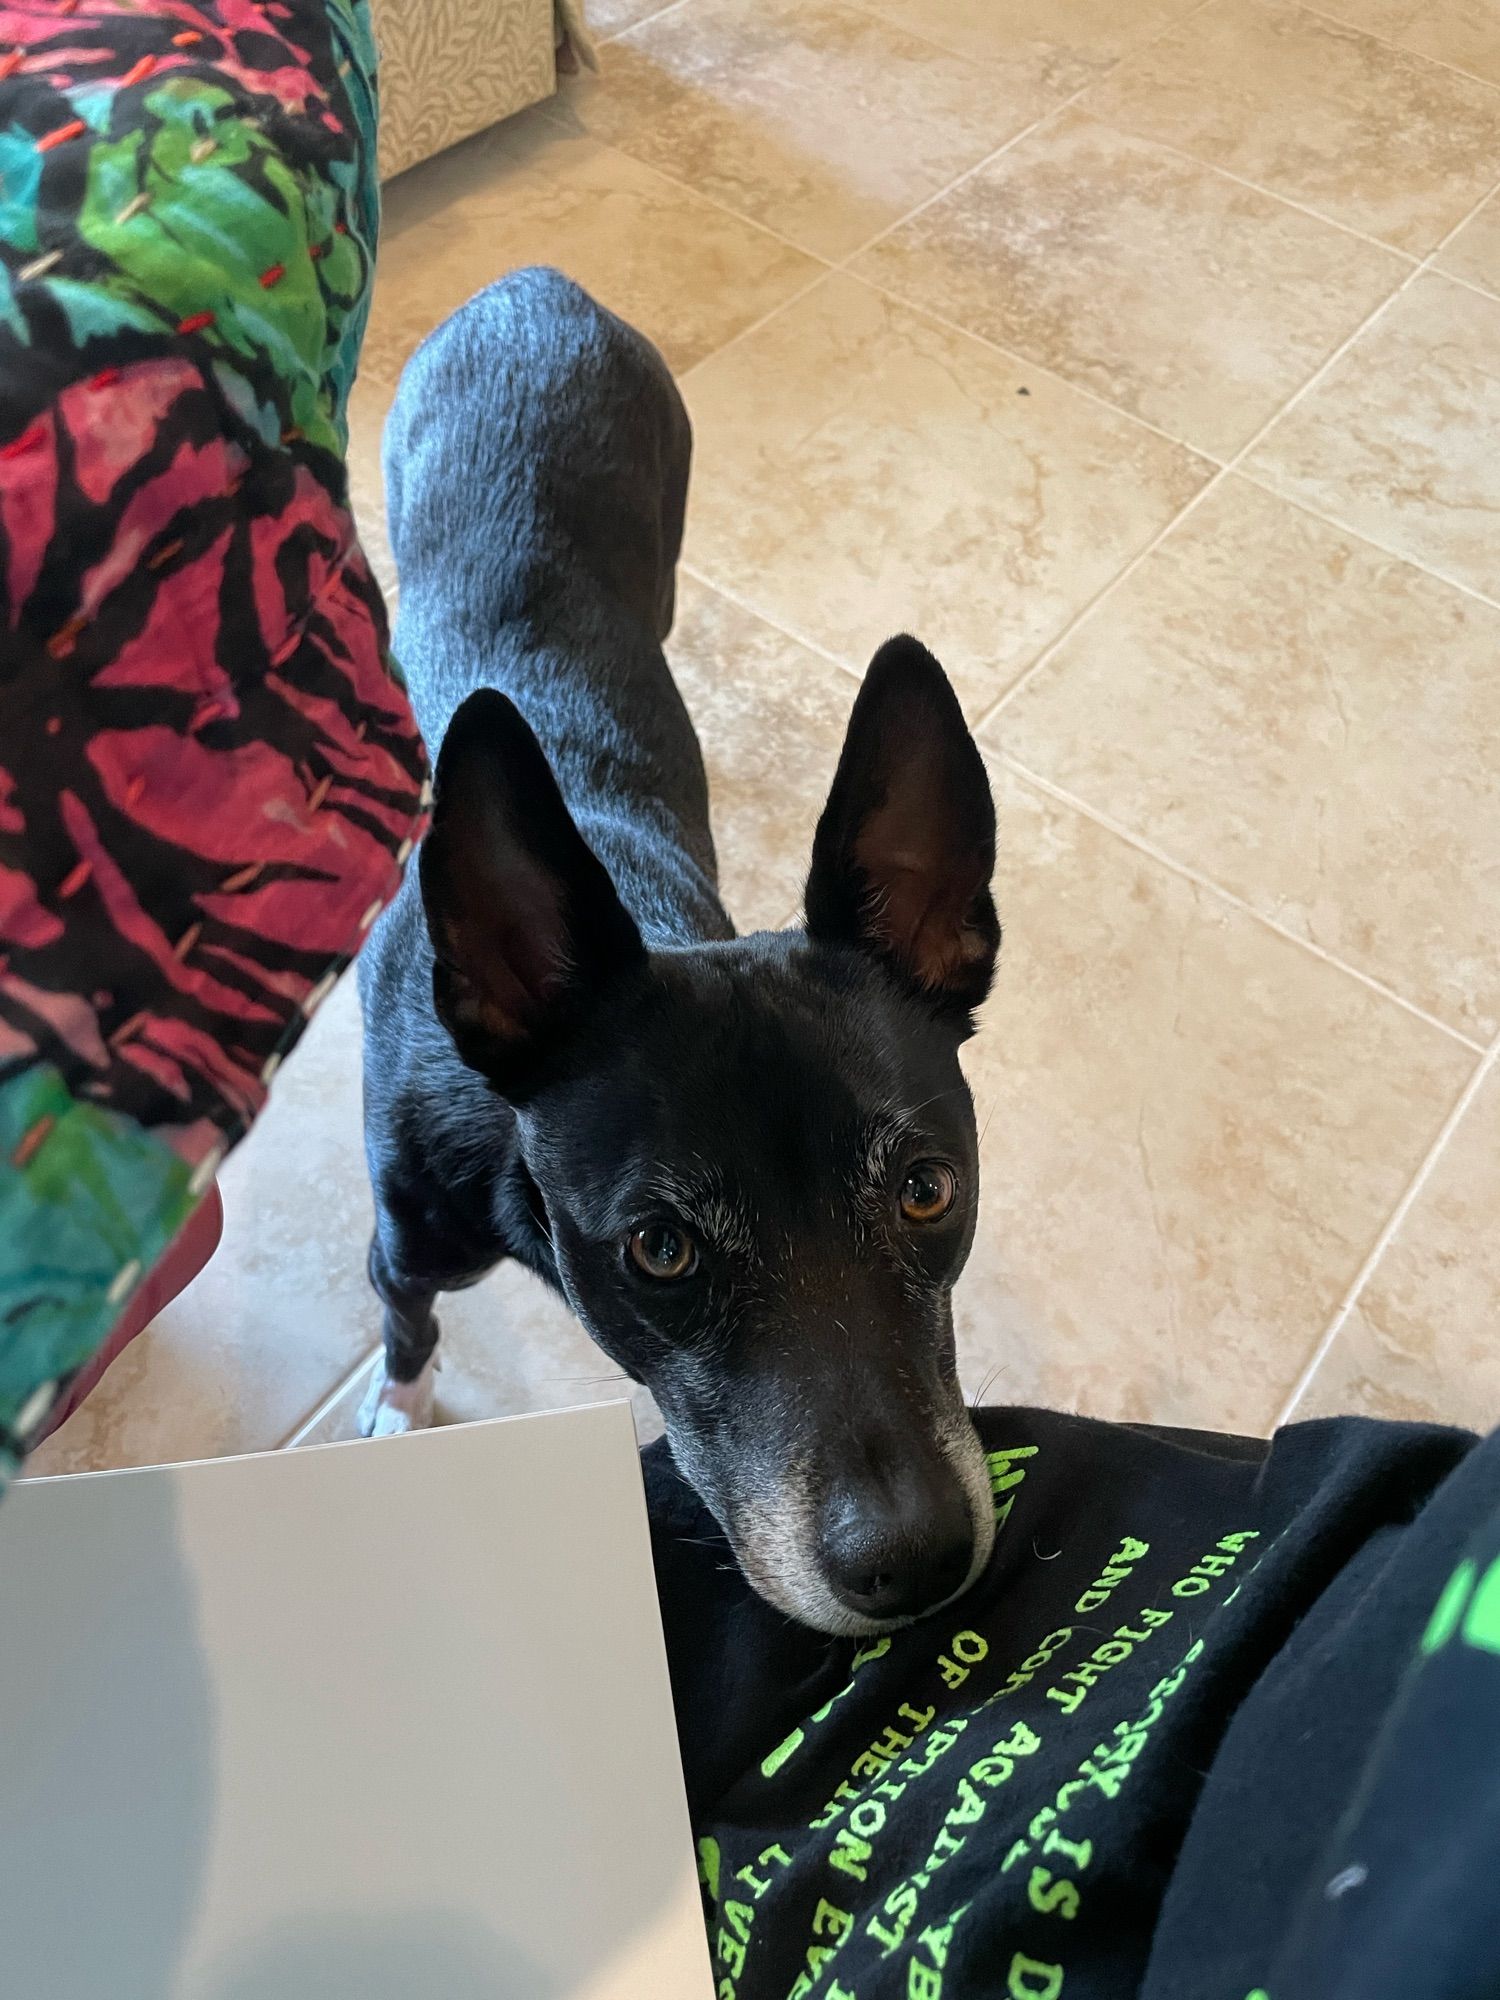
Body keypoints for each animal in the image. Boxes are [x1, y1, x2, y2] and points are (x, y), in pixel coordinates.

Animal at [358, 270, 1004, 1640]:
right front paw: (399, 1403)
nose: (915, 1561)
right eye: (662, 1248)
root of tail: (534, 285)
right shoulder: (405, 1243)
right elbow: (403, 1322)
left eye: (929, 1189)